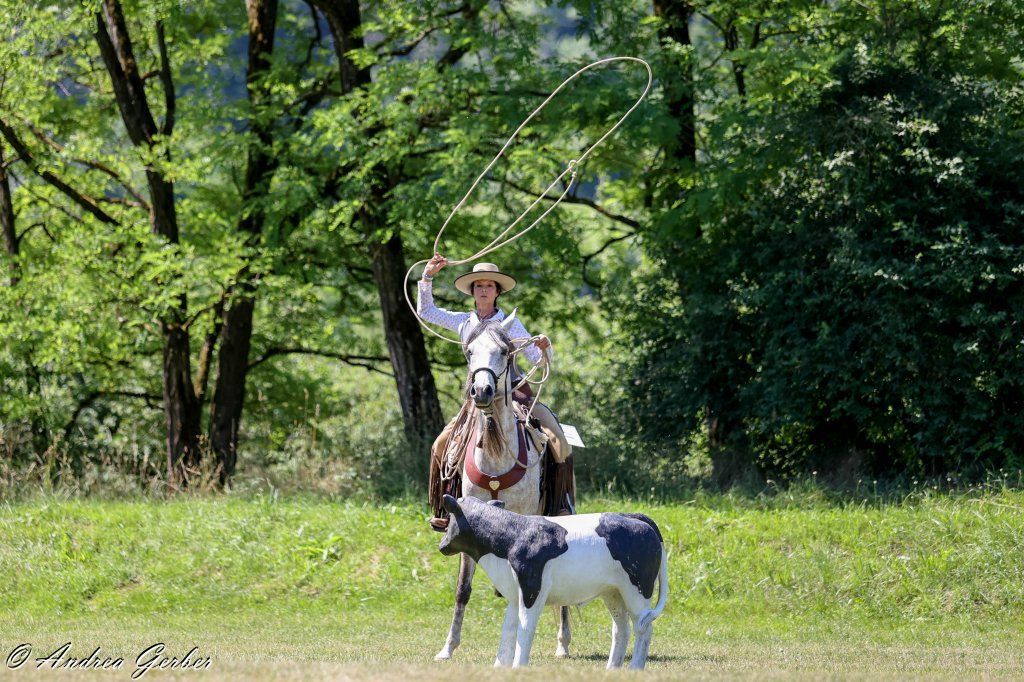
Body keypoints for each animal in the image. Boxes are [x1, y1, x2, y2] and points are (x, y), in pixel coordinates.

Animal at [433, 312, 573, 661]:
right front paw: (448, 647)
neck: (496, 456)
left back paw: (563, 644)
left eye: (504, 351)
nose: (481, 390)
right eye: (469, 351)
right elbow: (463, 589)